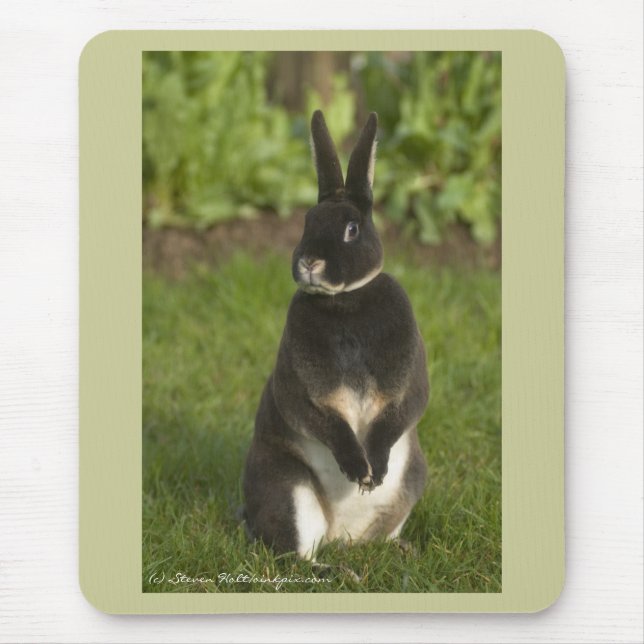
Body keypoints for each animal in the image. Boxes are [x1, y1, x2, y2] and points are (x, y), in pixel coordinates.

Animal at [242, 110, 429, 559]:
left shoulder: (409, 385)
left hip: (412, 483)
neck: (345, 301)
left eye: (352, 229)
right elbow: (326, 424)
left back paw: (399, 552)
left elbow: (400, 414)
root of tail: (343, 538)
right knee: (296, 555)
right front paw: (358, 470)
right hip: (289, 490)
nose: (310, 262)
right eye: (306, 222)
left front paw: (372, 472)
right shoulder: (301, 392)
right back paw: (335, 568)